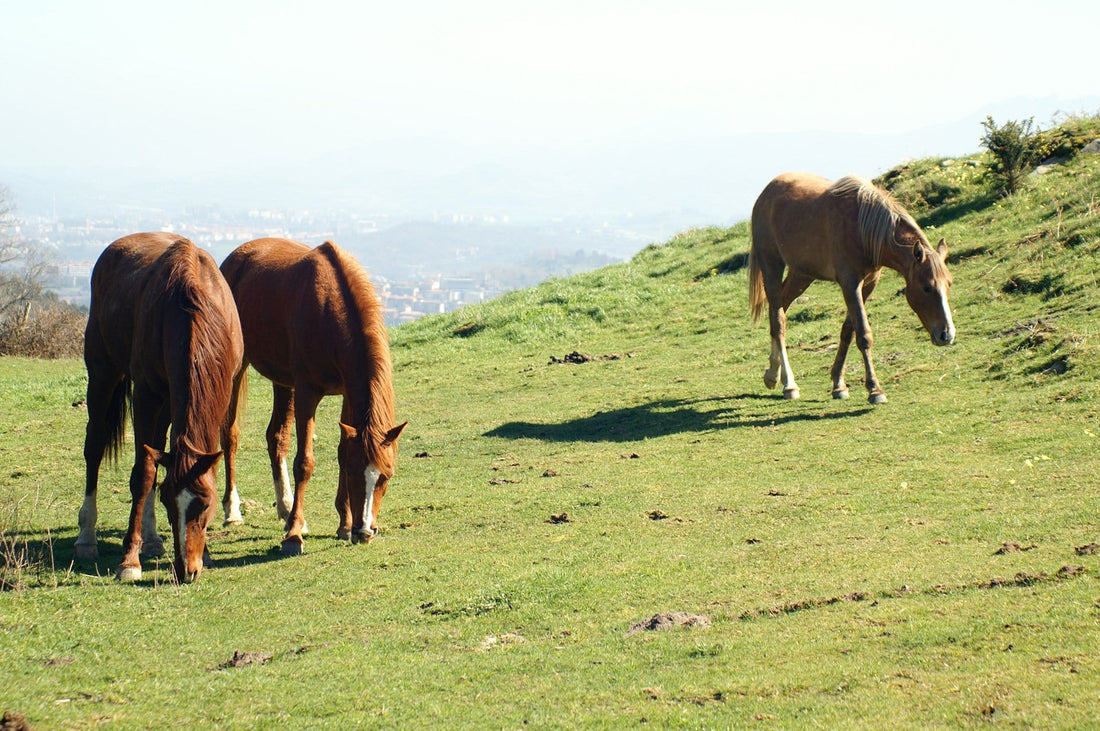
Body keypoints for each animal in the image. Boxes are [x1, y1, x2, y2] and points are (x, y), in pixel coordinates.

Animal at [78, 234, 246, 580]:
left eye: (205, 504)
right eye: (170, 504)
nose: (186, 569)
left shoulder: (220, 392)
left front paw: (205, 553)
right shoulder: (146, 394)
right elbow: (143, 474)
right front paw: (129, 560)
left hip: (170, 402)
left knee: (156, 447)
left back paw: (153, 539)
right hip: (102, 374)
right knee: (95, 447)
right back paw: (86, 538)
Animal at [216, 238, 407, 554]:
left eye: (386, 476)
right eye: (355, 474)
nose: (366, 531)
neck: (331, 311)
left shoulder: (347, 394)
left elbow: (342, 451)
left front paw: (343, 524)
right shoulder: (307, 392)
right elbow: (304, 462)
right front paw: (294, 536)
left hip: (283, 382)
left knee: (276, 437)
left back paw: (286, 508)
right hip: (238, 369)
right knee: (230, 435)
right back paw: (233, 510)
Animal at [748, 171, 954, 404]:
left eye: (949, 284)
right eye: (927, 287)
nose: (947, 335)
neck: (863, 227)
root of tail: (766, 193)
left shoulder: (869, 283)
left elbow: (848, 330)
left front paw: (838, 384)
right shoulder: (850, 283)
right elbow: (863, 334)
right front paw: (875, 390)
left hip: (801, 274)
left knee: (781, 308)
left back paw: (772, 374)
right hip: (771, 265)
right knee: (778, 321)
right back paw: (789, 384)